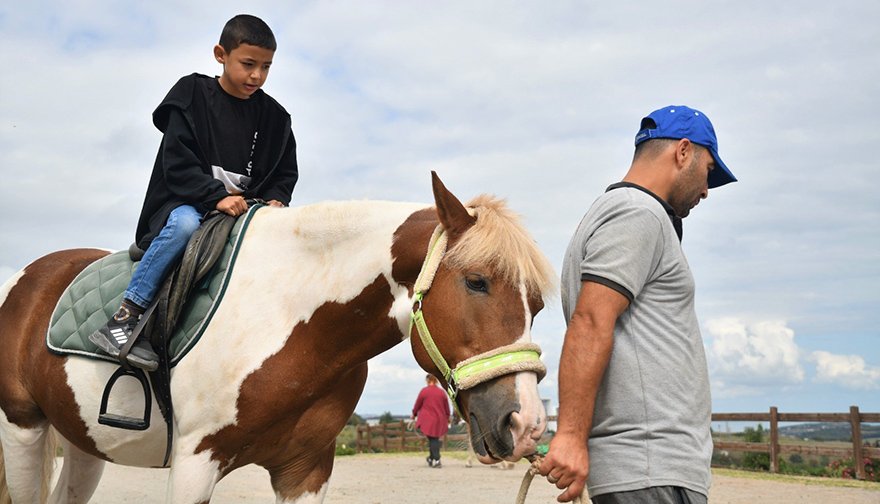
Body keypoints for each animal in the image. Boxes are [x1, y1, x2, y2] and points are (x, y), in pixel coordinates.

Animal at [0, 174, 552, 504]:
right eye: (476, 281)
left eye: (539, 304)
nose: (526, 423)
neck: (288, 315)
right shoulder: (194, 465)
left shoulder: (305, 470)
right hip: (23, 429)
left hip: (82, 441)